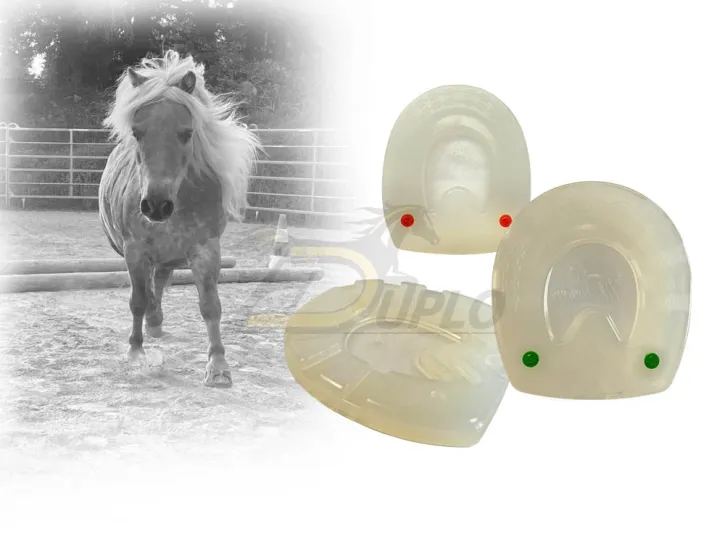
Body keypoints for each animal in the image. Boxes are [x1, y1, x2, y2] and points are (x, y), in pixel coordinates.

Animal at [98, 50, 260, 388]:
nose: (156, 206)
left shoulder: (205, 250)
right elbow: (137, 300)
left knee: (159, 282)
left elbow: (210, 306)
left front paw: (218, 366)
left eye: (187, 134)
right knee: (149, 289)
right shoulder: (135, 251)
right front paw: (135, 353)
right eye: (136, 133)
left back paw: (156, 322)